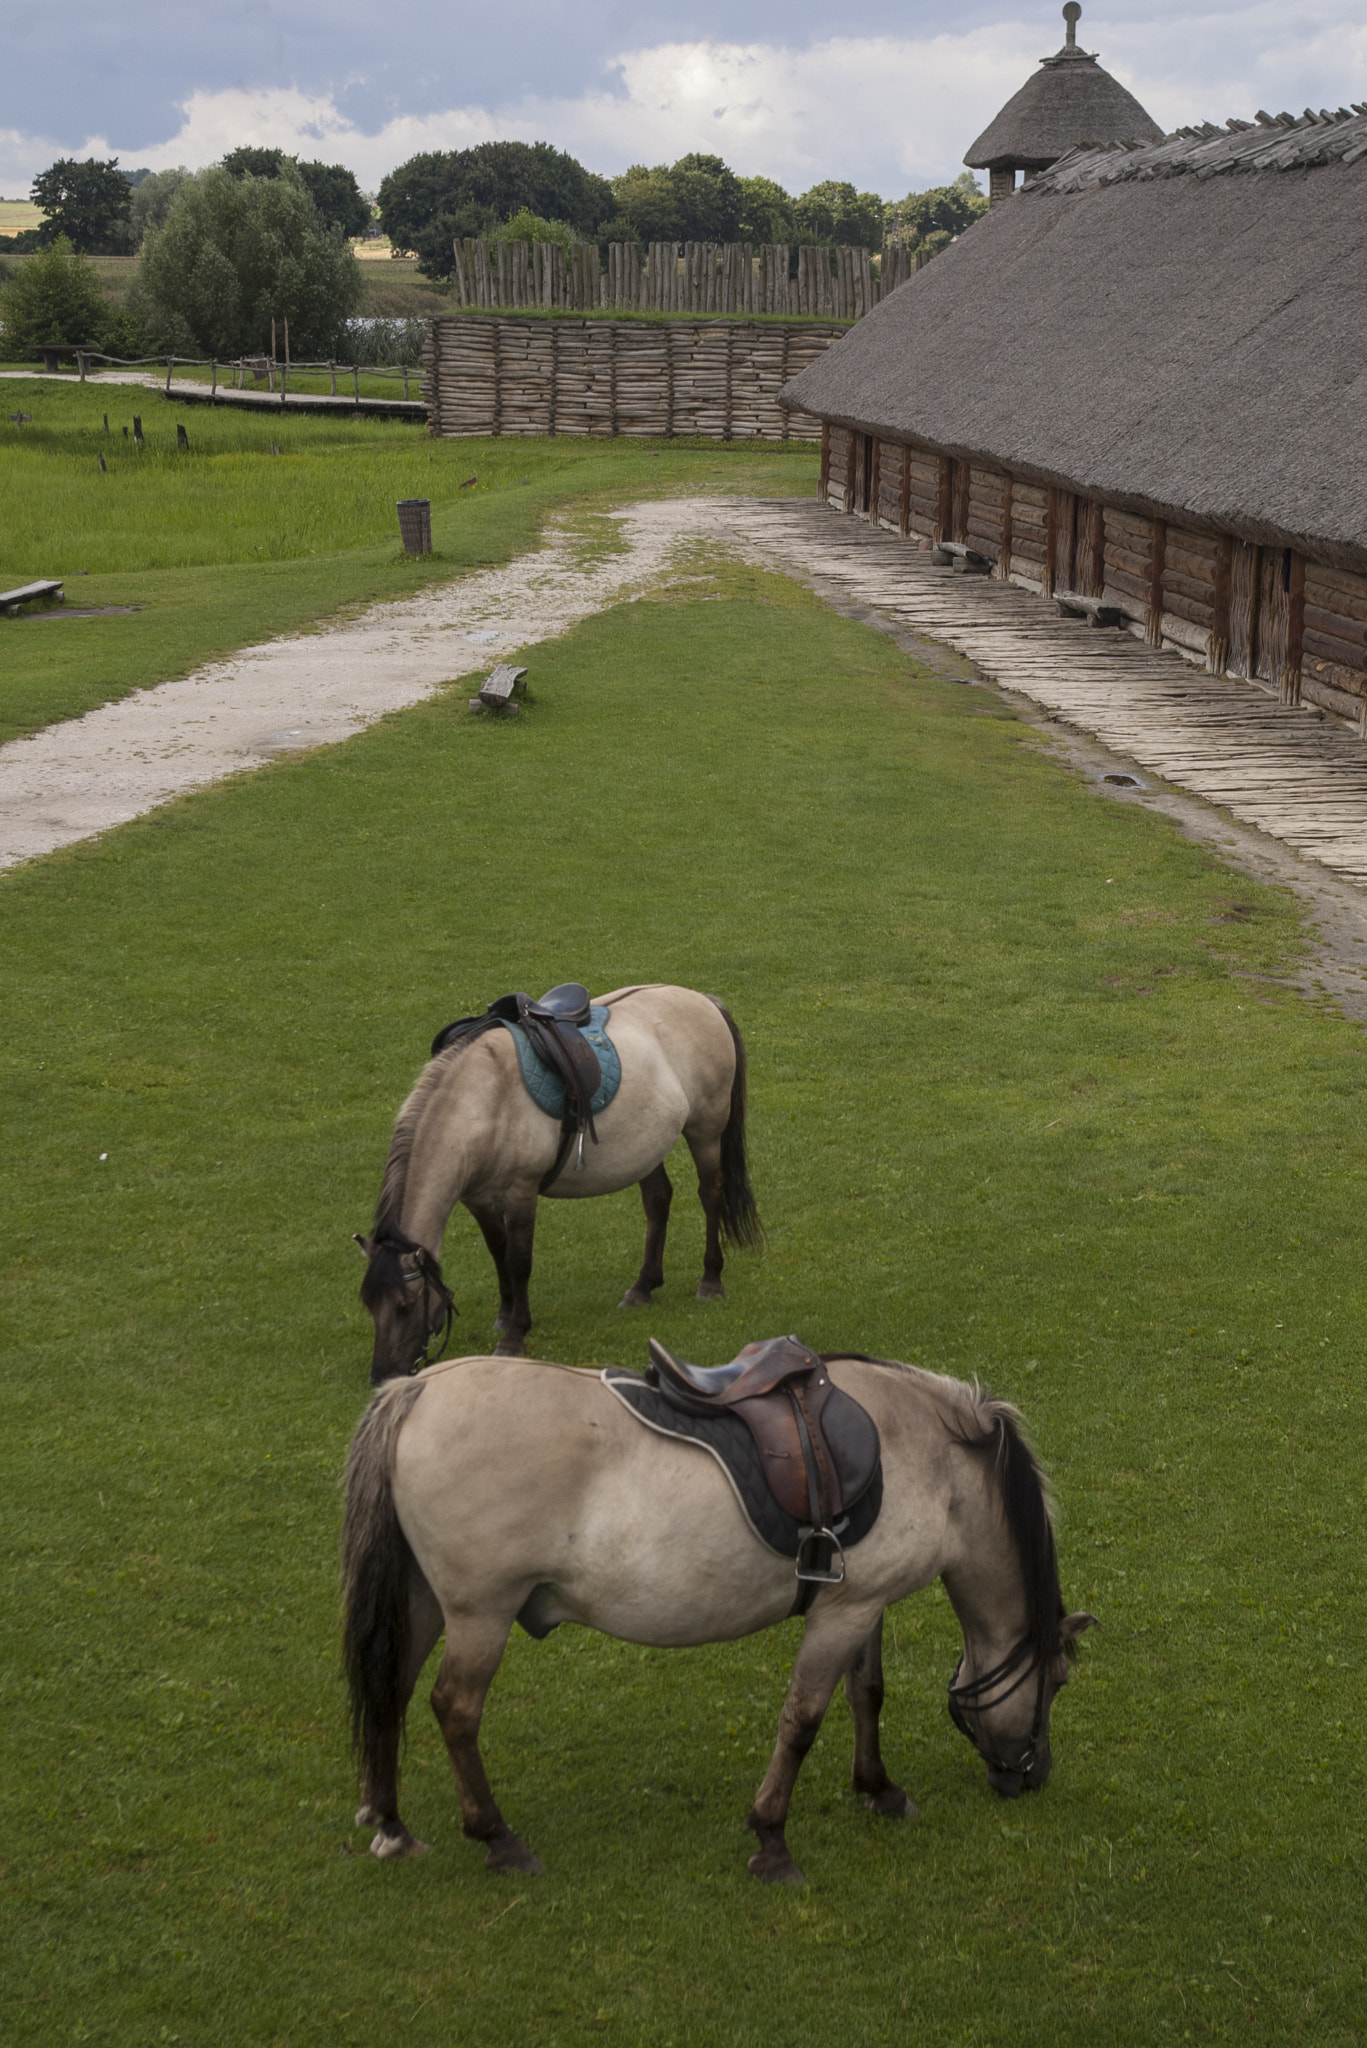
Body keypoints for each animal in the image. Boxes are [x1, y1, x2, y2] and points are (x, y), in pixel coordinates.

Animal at [344, 1351, 1098, 1892]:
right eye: (1057, 1683)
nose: (1032, 1775)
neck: (931, 1455)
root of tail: (419, 1389)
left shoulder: (863, 1604)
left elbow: (867, 1695)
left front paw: (878, 1789)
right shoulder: (845, 1611)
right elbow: (802, 1719)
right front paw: (772, 1840)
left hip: (424, 1601)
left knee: (391, 1691)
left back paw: (390, 1822)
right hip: (481, 1613)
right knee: (454, 1709)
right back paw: (496, 1836)